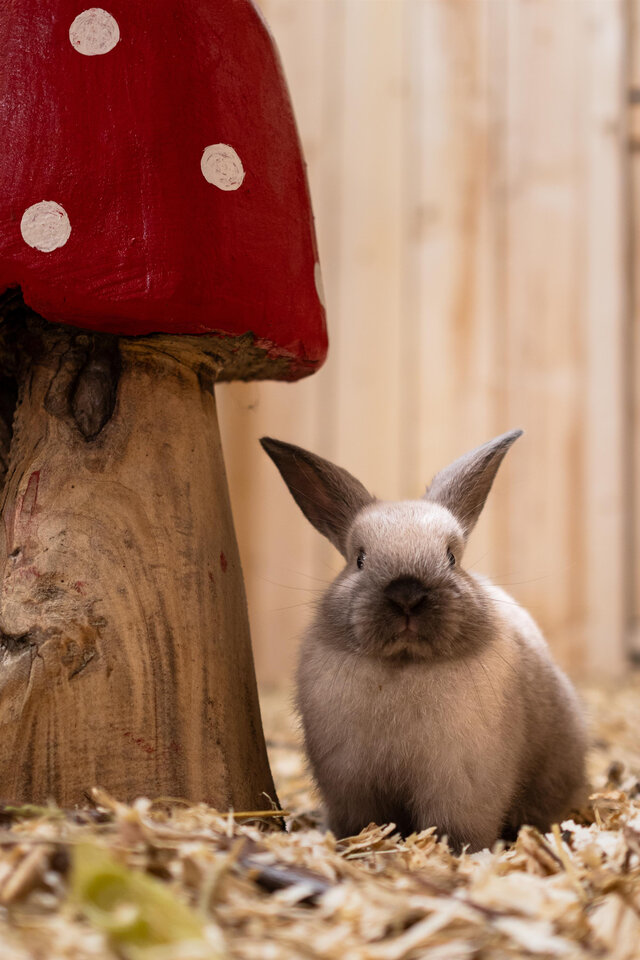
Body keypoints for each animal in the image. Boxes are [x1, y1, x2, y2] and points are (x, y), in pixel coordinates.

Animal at [260, 430, 588, 852]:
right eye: (359, 559)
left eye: (451, 558)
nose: (407, 595)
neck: (405, 664)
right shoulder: (349, 782)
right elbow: (361, 821)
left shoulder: (460, 785)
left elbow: (455, 826)